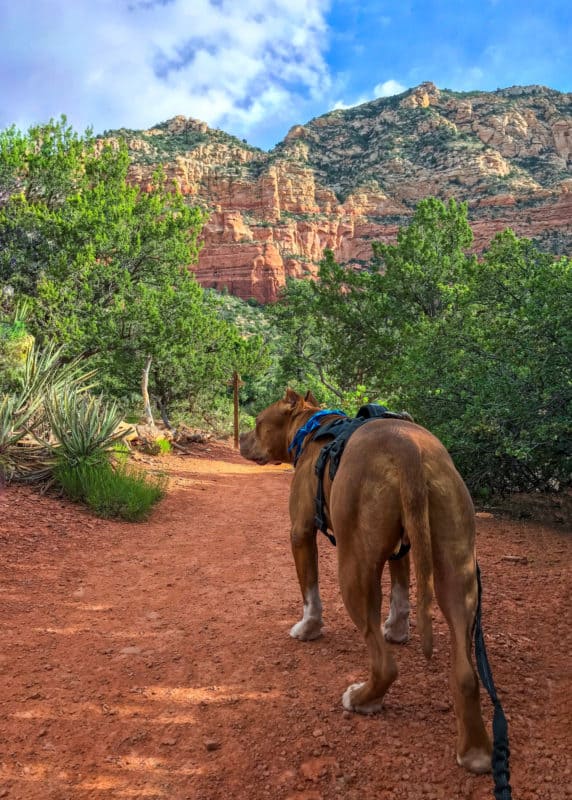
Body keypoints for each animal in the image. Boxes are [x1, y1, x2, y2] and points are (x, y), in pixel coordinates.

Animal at [240, 390, 492, 776]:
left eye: (257, 424)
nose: (238, 438)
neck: (312, 427)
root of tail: (407, 448)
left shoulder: (300, 531)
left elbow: (309, 590)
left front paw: (307, 628)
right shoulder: (402, 548)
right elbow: (401, 592)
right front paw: (397, 630)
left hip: (353, 570)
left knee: (384, 664)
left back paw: (362, 699)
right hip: (457, 566)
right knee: (466, 673)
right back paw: (475, 751)